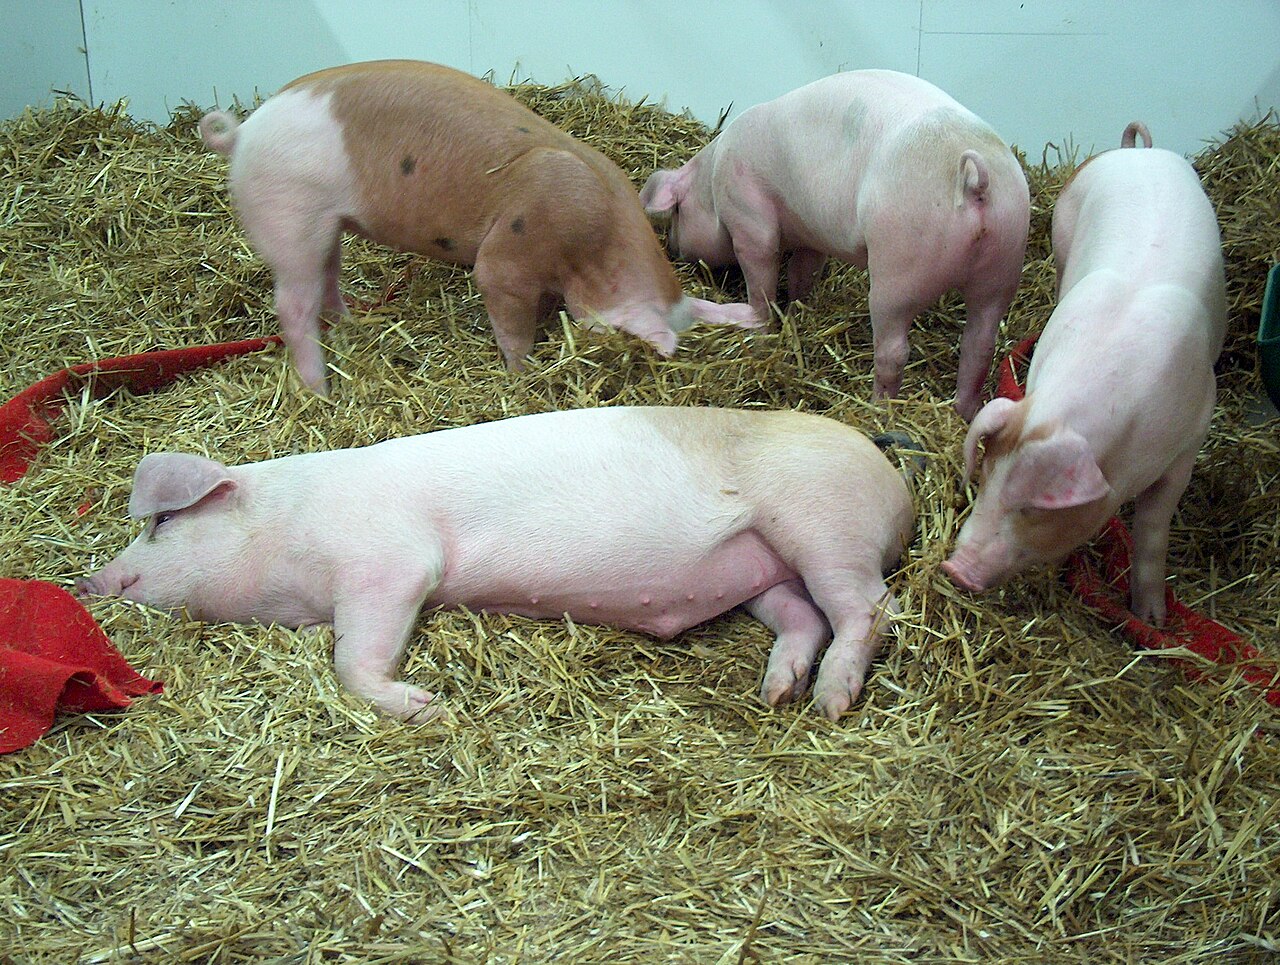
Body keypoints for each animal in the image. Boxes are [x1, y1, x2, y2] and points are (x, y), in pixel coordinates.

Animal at [78, 407, 914, 722]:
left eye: (160, 521)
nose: (88, 582)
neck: (289, 529)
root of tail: (891, 473)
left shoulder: (390, 564)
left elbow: (353, 658)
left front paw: (430, 706)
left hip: (823, 522)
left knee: (871, 607)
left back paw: (831, 701)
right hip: (760, 573)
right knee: (803, 617)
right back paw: (777, 692)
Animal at [198, 60, 758, 395]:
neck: (594, 246)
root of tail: (242, 136)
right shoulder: (509, 256)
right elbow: (507, 315)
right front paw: (523, 376)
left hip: (325, 224)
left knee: (327, 278)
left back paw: (352, 324)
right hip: (289, 215)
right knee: (293, 304)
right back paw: (320, 389)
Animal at [639, 70, 1031, 420]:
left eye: (677, 212)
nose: (672, 248)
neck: (712, 177)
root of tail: (973, 183)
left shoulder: (747, 211)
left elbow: (763, 271)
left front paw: (768, 322)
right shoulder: (812, 235)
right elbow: (803, 272)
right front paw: (798, 307)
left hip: (900, 266)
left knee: (894, 350)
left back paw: (878, 409)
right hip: (1004, 261)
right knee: (980, 344)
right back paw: (964, 413)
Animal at [942, 124, 1226, 624]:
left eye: (1032, 507)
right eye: (986, 478)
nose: (955, 570)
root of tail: (1137, 155)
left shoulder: (1191, 438)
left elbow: (1153, 529)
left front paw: (1151, 621)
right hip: (1061, 236)